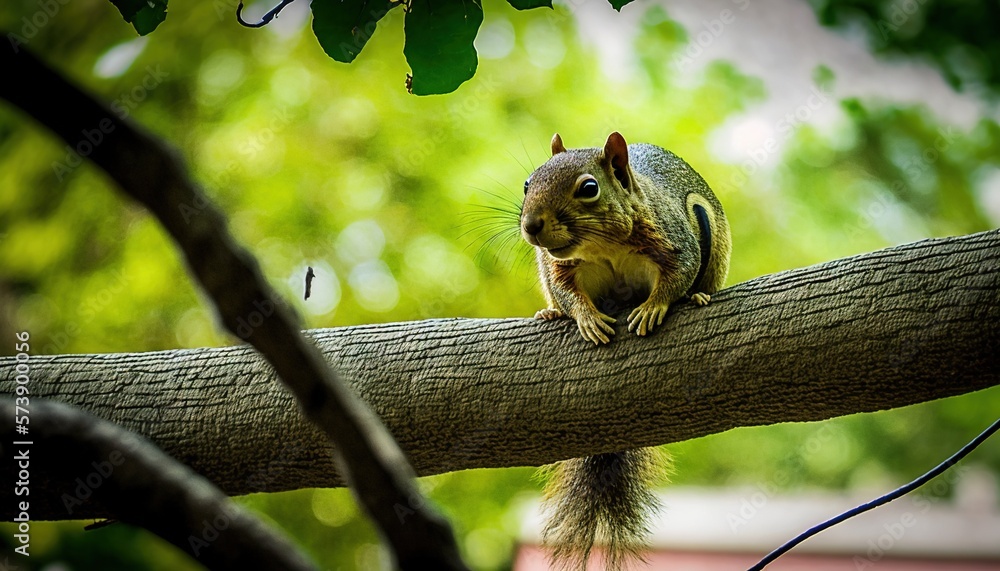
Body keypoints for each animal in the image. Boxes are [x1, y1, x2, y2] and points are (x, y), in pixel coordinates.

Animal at [520, 132, 732, 568]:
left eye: (589, 188)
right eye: (528, 184)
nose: (531, 226)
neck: (604, 247)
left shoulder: (674, 238)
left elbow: (678, 275)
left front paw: (653, 308)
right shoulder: (558, 268)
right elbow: (567, 292)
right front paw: (584, 317)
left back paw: (699, 296)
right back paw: (550, 313)